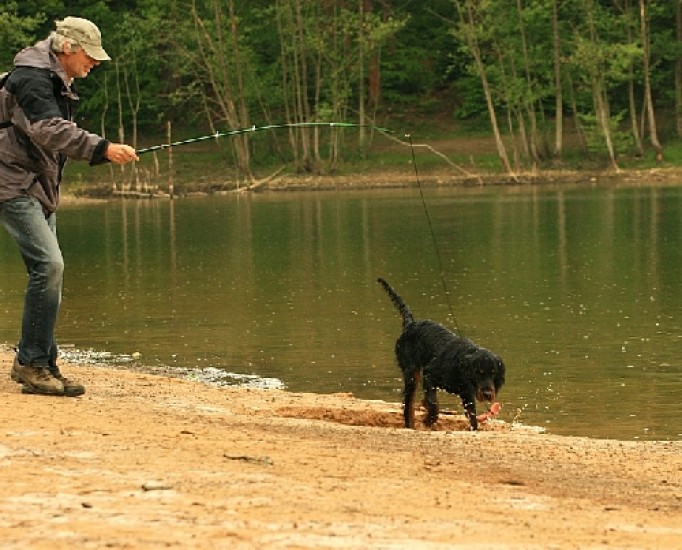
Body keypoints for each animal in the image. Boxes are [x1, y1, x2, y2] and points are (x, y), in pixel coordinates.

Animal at [378, 277, 505, 431]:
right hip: (412, 373)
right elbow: (433, 404)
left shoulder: (467, 394)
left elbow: (472, 418)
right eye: (478, 372)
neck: (459, 364)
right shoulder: (429, 375)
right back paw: (411, 425)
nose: (487, 394)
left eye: (493, 372)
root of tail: (410, 324)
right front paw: (429, 420)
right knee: (408, 405)